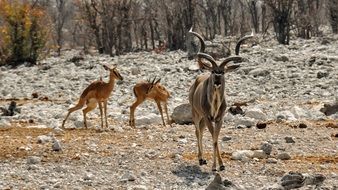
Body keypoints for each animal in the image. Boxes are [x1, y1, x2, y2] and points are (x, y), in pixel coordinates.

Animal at [190, 29, 251, 171]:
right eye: (213, 71)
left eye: (222, 72)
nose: (217, 81)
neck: (215, 104)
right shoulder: (208, 118)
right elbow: (214, 138)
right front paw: (214, 167)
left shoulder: (219, 119)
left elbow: (216, 139)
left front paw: (221, 165)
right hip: (196, 114)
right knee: (197, 132)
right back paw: (200, 159)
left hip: (202, 119)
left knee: (201, 132)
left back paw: (203, 159)